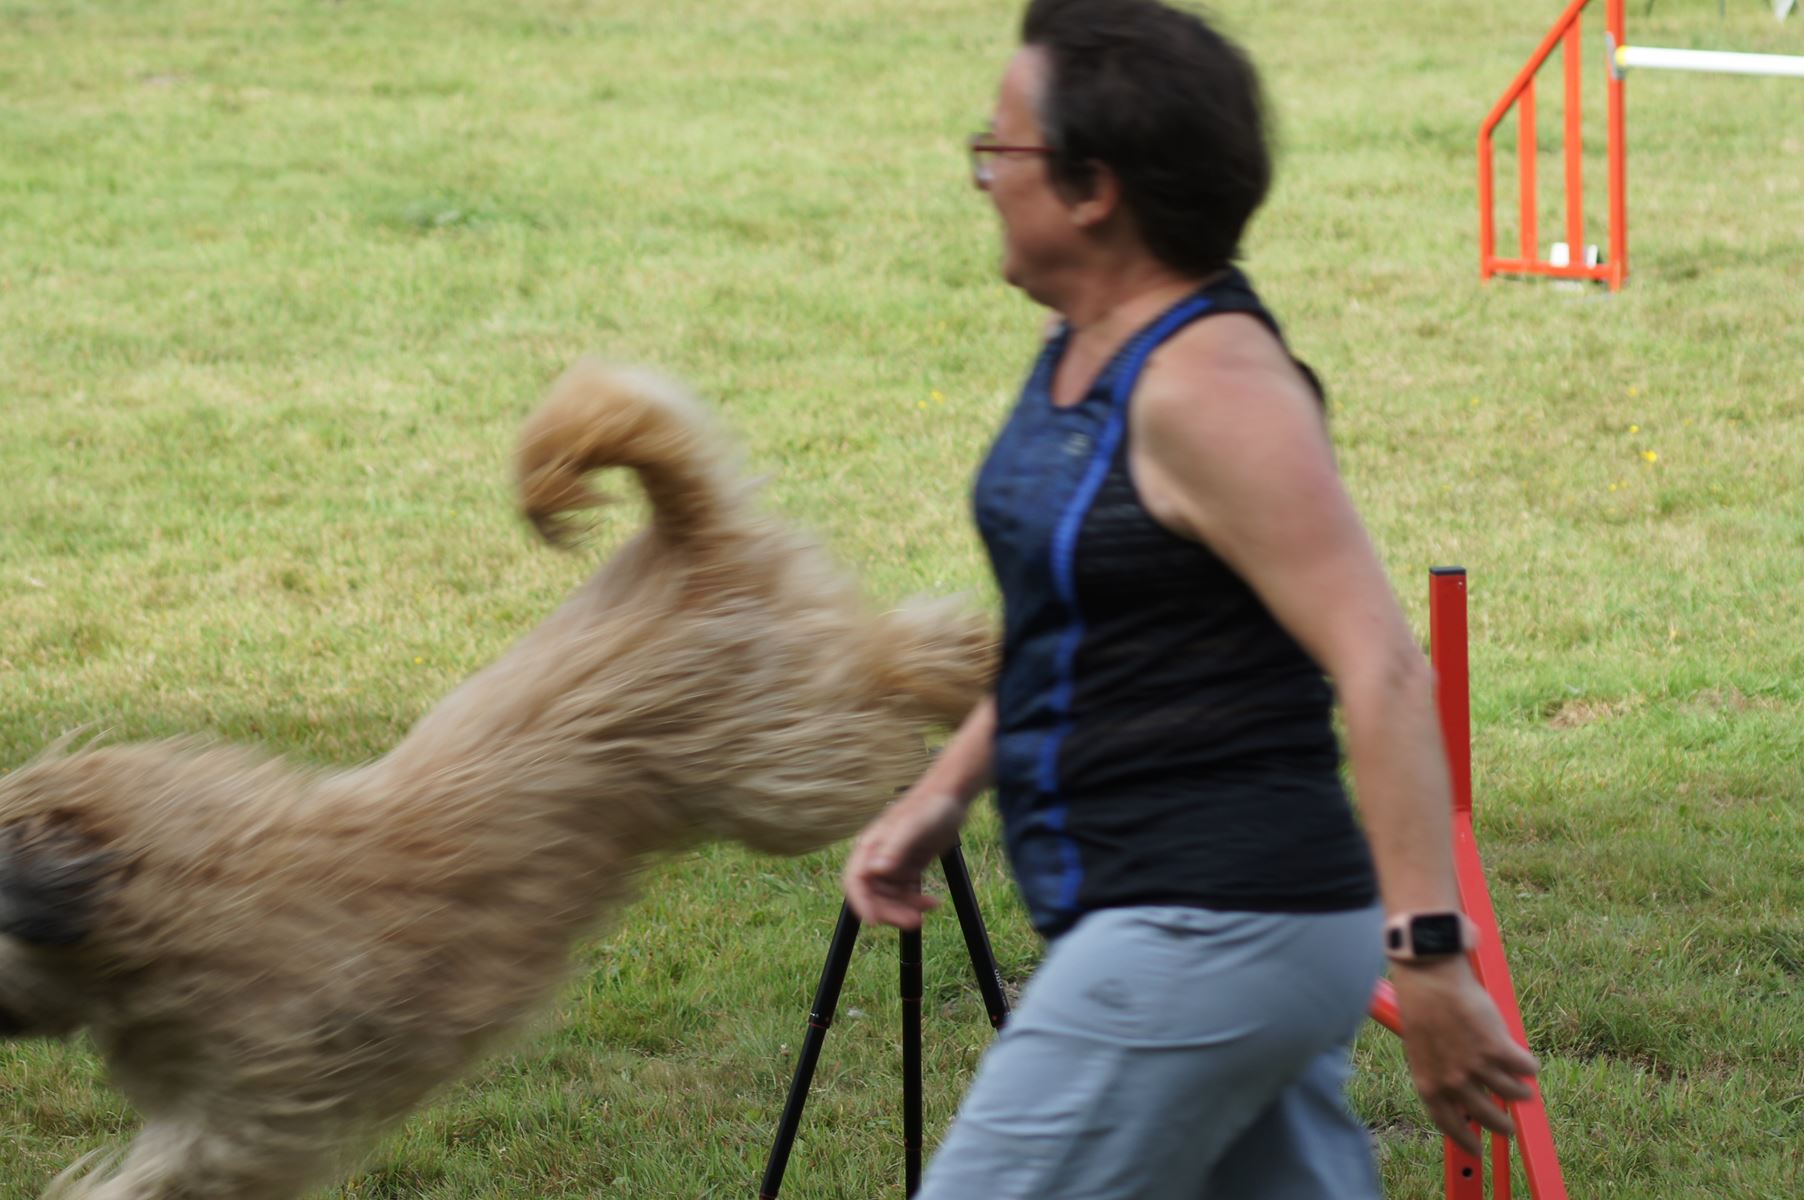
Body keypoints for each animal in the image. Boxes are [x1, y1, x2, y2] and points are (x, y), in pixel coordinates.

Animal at [0, 362, 988, 1198]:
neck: (178, 884)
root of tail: (683, 543)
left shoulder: (257, 1106)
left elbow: (158, 1177)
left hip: (790, 767)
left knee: (905, 658)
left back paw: (978, 667)